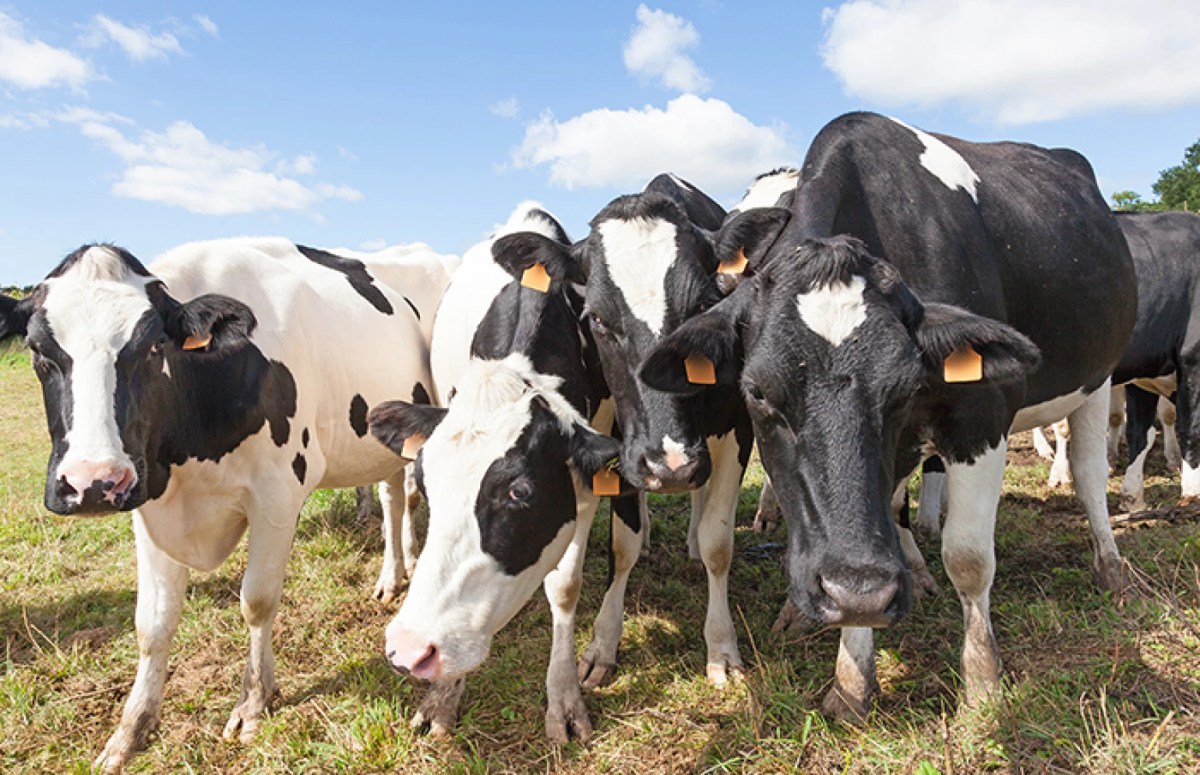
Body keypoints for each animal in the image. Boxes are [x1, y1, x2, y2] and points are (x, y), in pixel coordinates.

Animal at [0, 236, 454, 771]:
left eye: (153, 346)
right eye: (38, 350)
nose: (92, 482)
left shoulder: (278, 493)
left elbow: (257, 601)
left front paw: (254, 703)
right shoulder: (151, 507)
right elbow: (152, 623)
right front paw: (131, 730)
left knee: (402, 495)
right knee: (392, 495)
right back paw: (392, 575)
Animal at [368, 202, 634, 741]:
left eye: (520, 492)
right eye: (428, 485)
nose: (410, 651)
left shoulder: (582, 484)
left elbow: (564, 586)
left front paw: (564, 697)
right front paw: (442, 697)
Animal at [639, 111, 1136, 718]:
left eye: (906, 387)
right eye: (756, 391)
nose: (862, 590)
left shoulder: (984, 412)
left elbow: (968, 557)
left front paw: (983, 682)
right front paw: (852, 679)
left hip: (1098, 375)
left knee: (1089, 474)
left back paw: (1109, 567)